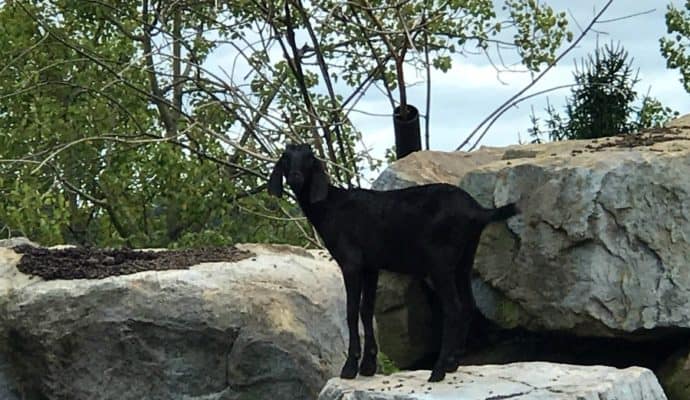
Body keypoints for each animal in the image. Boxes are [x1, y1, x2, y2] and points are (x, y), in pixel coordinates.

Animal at [266, 143, 520, 382]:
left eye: (309, 158)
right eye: (285, 158)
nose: (295, 177)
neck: (331, 206)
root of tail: (478, 211)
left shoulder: (351, 262)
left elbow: (351, 311)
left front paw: (350, 368)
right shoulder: (371, 266)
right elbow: (366, 310)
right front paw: (368, 366)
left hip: (441, 262)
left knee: (453, 308)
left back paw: (437, 372)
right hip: (464, 260)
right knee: (468, 305)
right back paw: (452, 364)